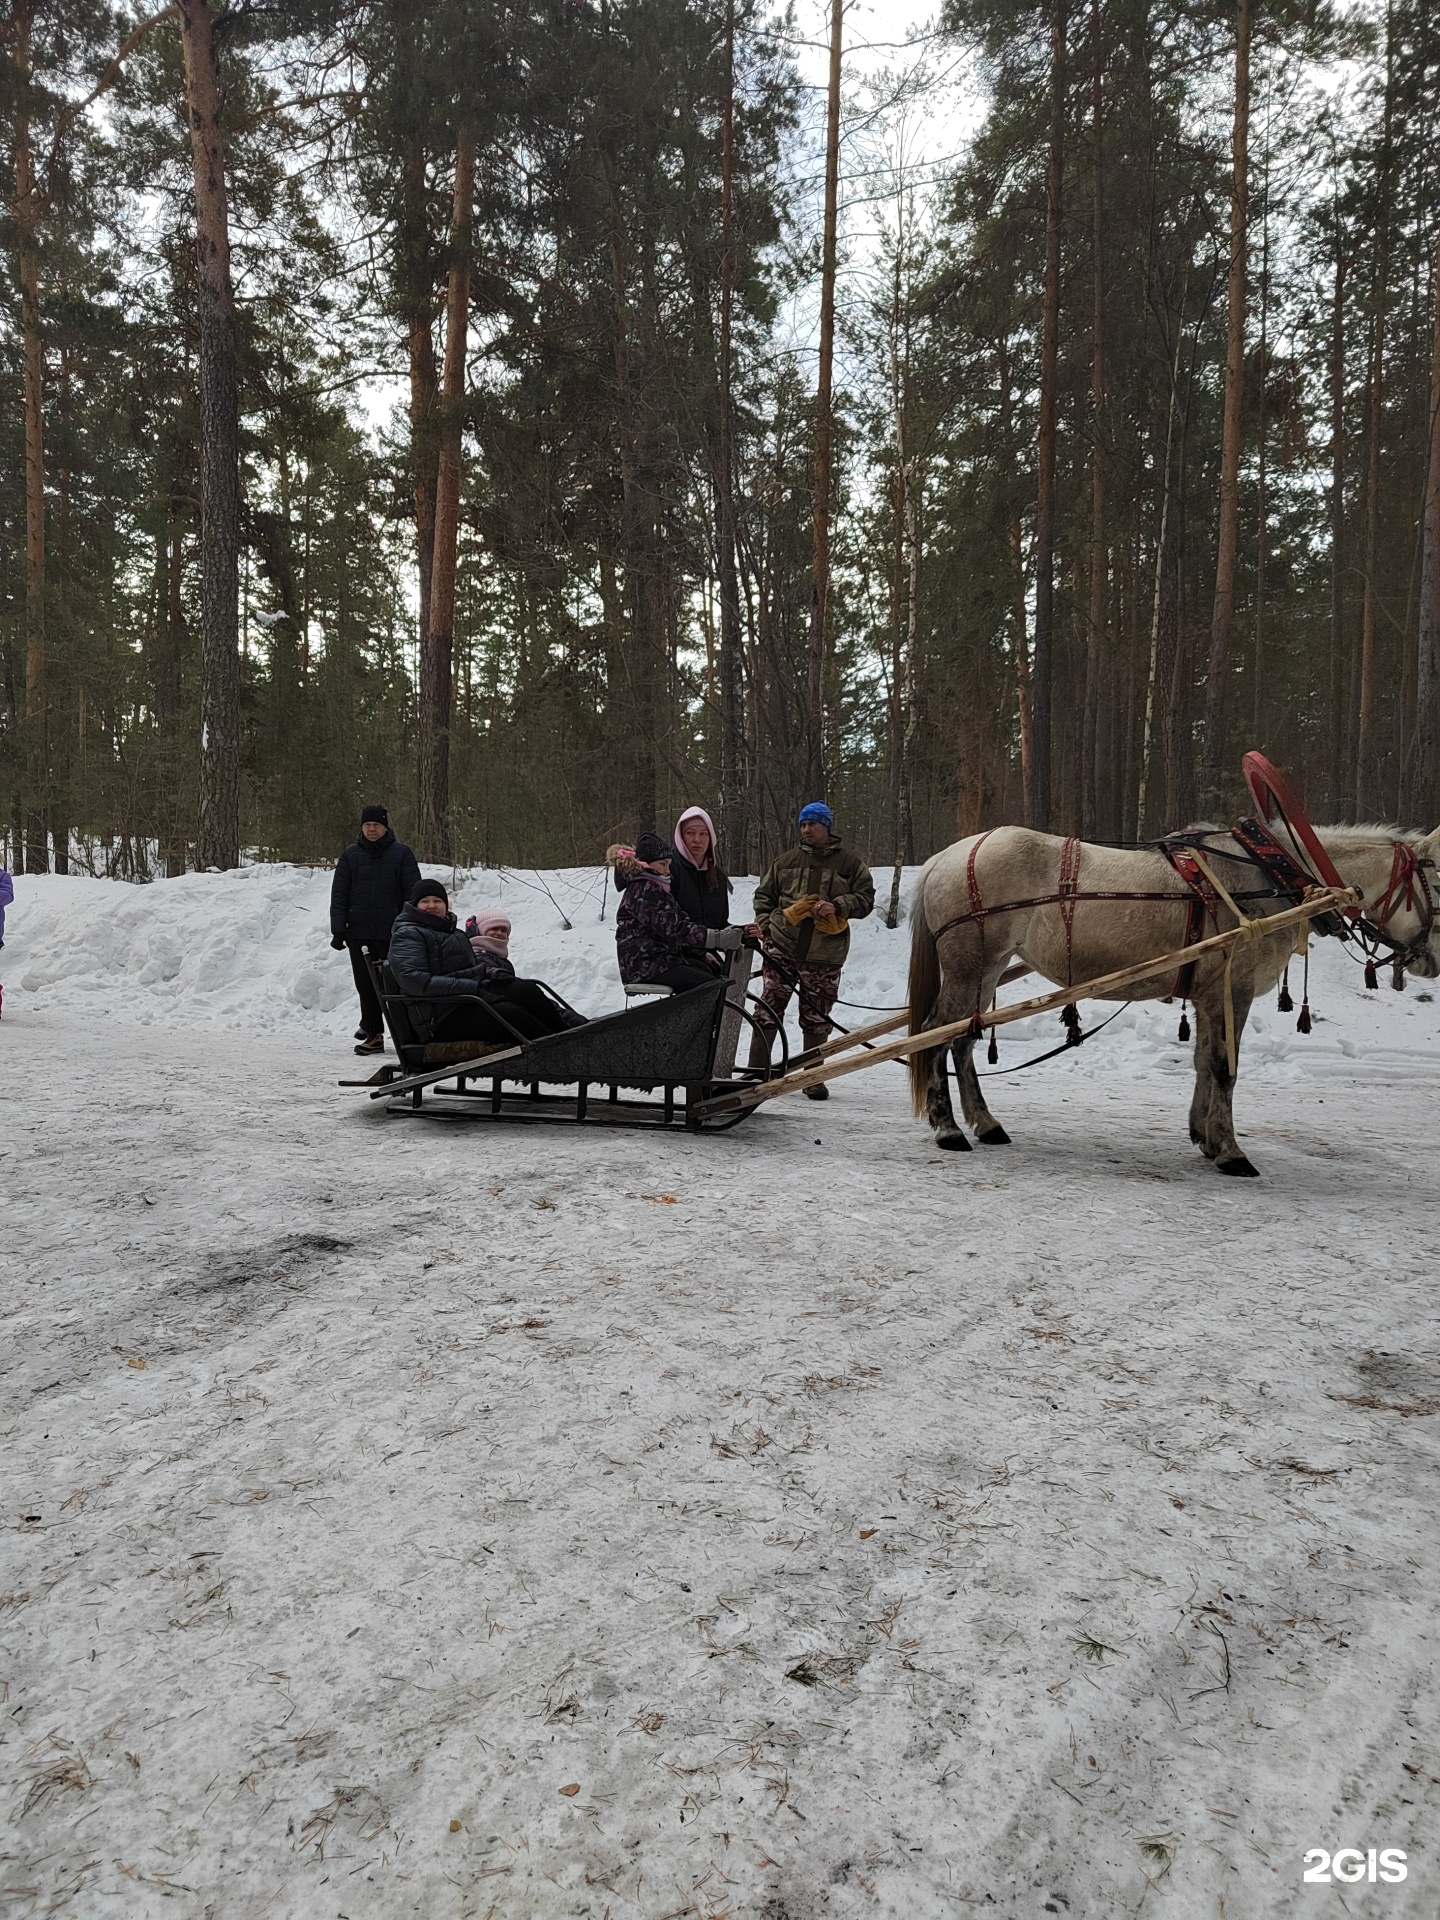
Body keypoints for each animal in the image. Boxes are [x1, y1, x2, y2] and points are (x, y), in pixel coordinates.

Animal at [913, 821, 1440, 1167]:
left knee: (962, 1038)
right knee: (935, 1034)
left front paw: (1203, 1135)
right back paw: (949, 1128)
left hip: (986, 969)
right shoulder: (1234, 987)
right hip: (970, 965)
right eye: (1437, 883)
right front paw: (1230, 1150)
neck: (1268, 880)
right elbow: (1225, 1066)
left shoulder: (1209, 993)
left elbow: (1204, 1060)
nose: (1431, 959)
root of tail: (944, 857)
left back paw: (985, 1123)